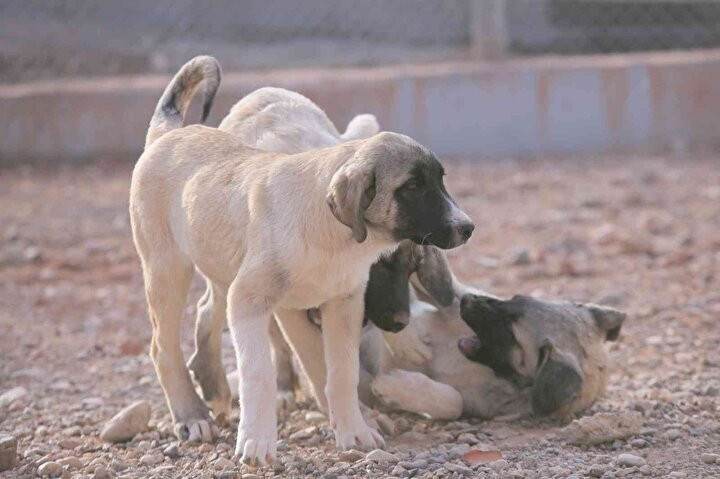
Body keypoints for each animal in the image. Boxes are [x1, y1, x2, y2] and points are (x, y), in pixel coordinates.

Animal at [131, 56, 476, 464]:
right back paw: (191, 415)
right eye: (412, 187)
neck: (334, 239)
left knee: (205, 311)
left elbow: (340, 371)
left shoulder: (343, 304)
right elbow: (263, 373)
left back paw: (212, 385)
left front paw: (354, 429)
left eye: (441, 180)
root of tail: (167, 134)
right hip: (167, 269)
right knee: (162, 347)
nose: (467, 227)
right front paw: (257, 441)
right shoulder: (256, 302)